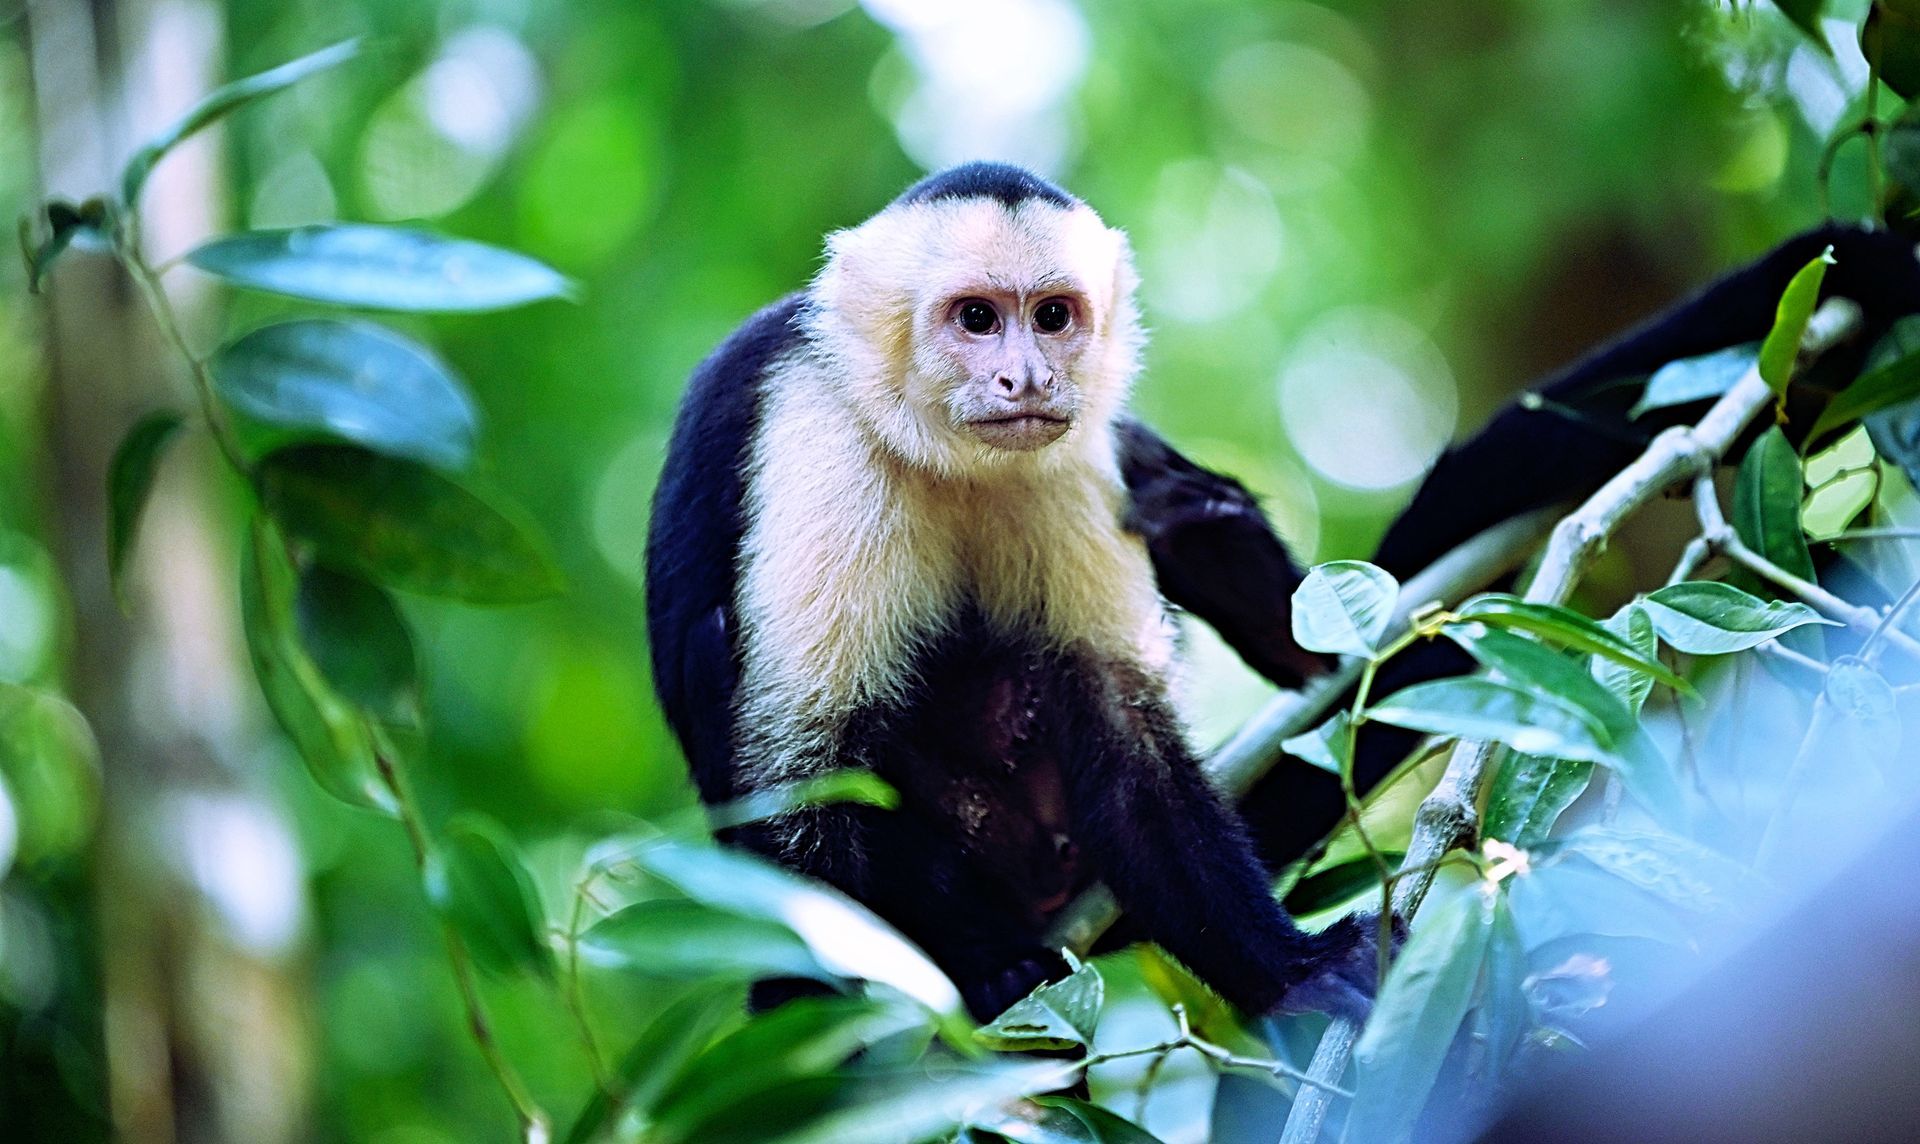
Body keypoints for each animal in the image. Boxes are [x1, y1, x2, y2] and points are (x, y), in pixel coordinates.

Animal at [645, 161, 1379, 1022]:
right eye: (976, 318)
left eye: (1052, 316)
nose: (1027, 378)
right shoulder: (819, 435)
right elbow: (805, 775)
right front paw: (808, 1037)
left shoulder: (1076, 461)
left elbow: (1126, 741)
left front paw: (1295, 971)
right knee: (718, 646)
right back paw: (977, 962)